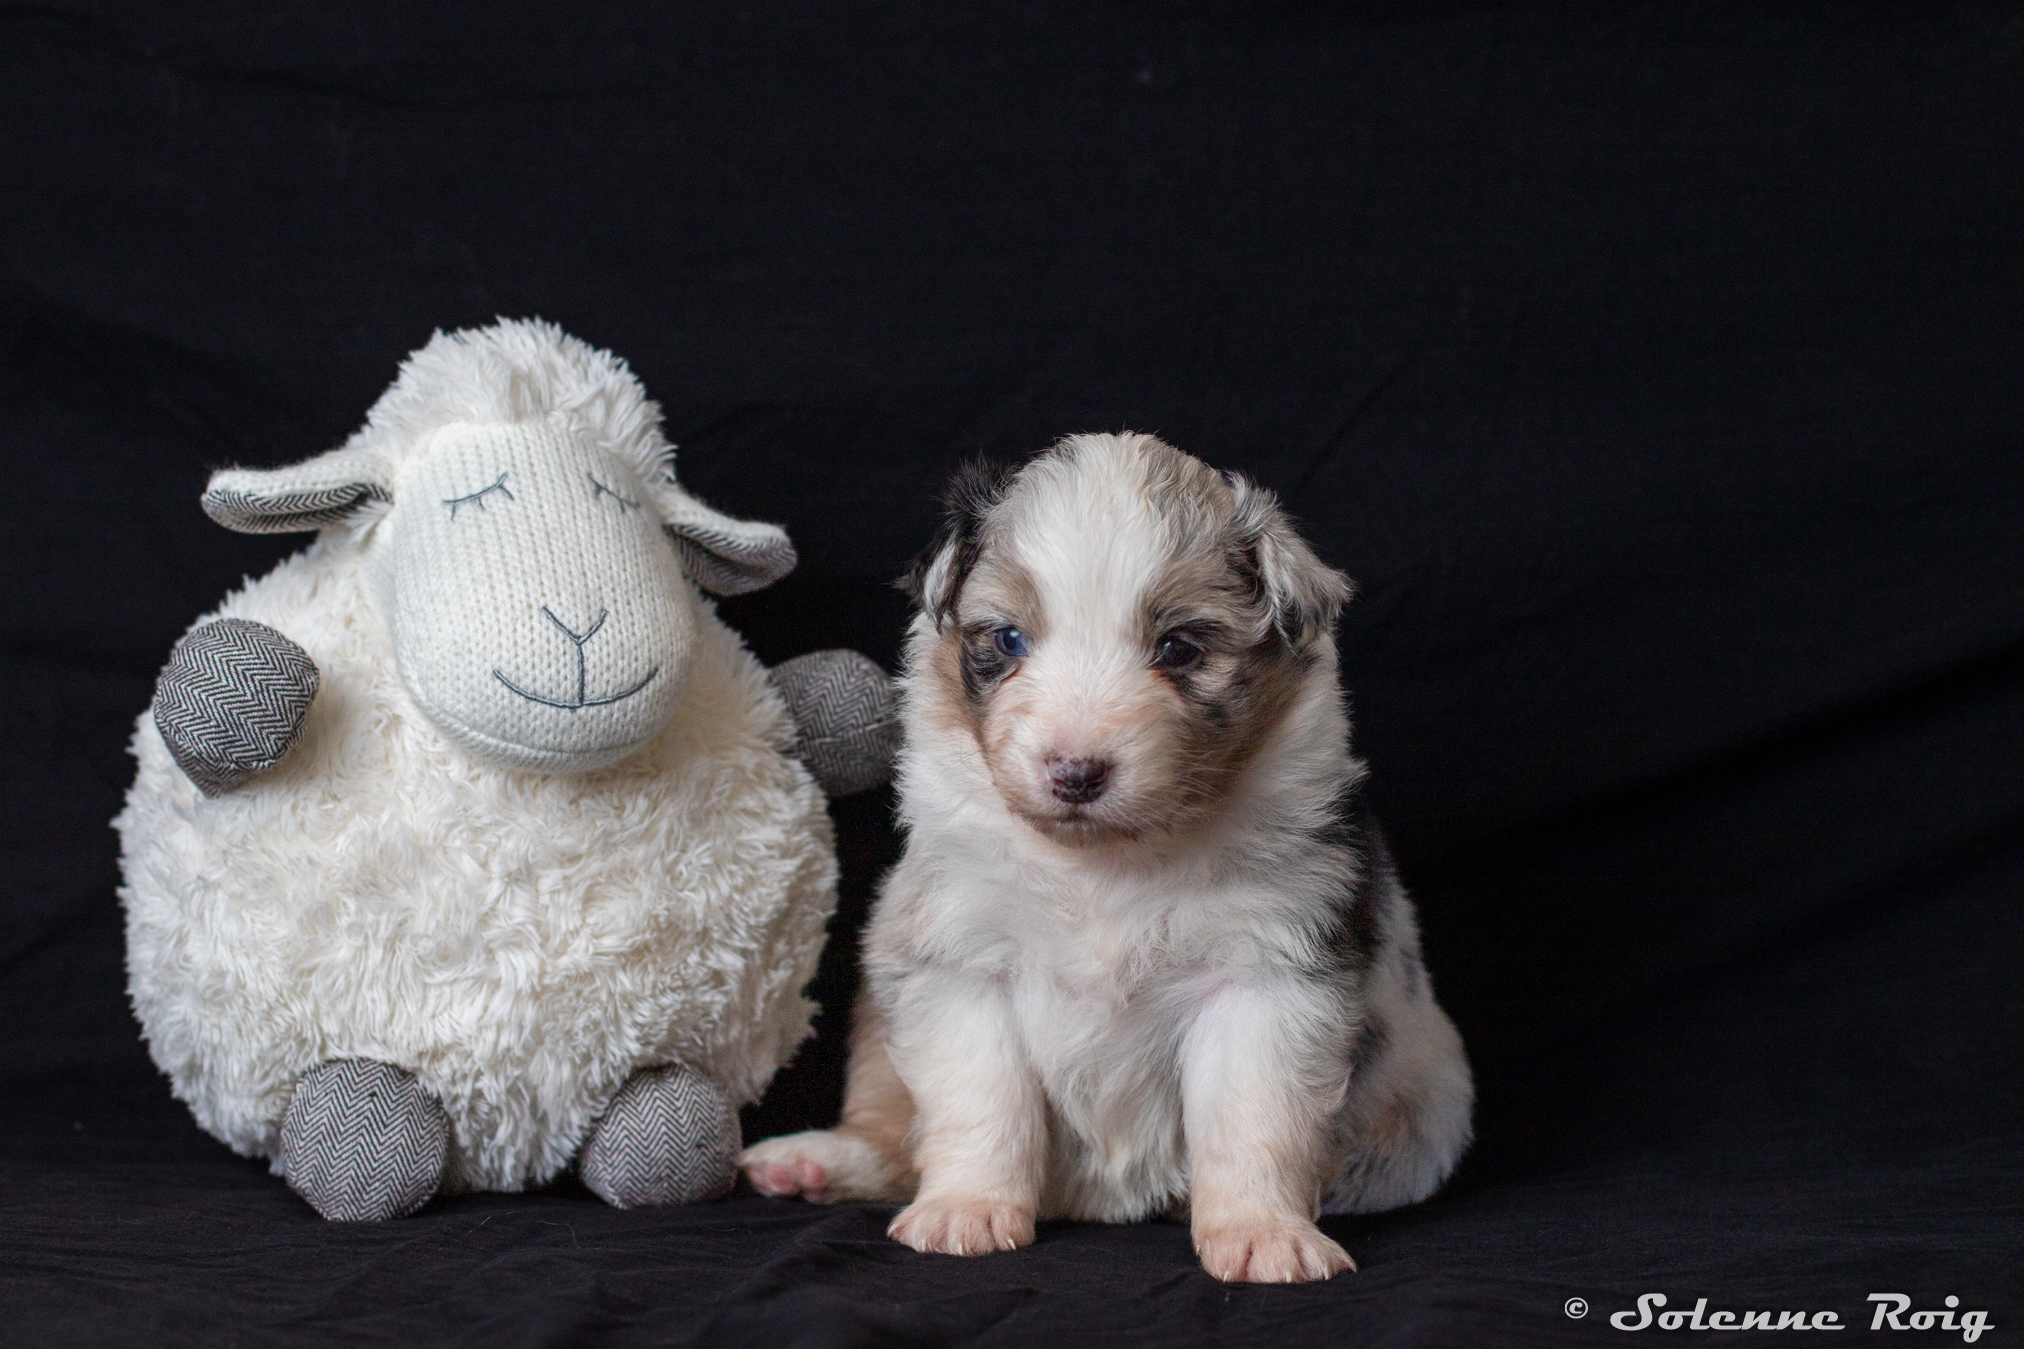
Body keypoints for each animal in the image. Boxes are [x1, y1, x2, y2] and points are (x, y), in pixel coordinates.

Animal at [742, 433, 1473, 1282]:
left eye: (1180, 648)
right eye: (1008, 640)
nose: (1075, 771)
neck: (1105, 860)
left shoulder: (1268, 971)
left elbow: (1254, 1113)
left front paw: (1263, 1232)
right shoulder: (959, 955)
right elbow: (982, 1099)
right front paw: (967, 1209)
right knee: (890, 1130)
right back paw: (813, 1160)